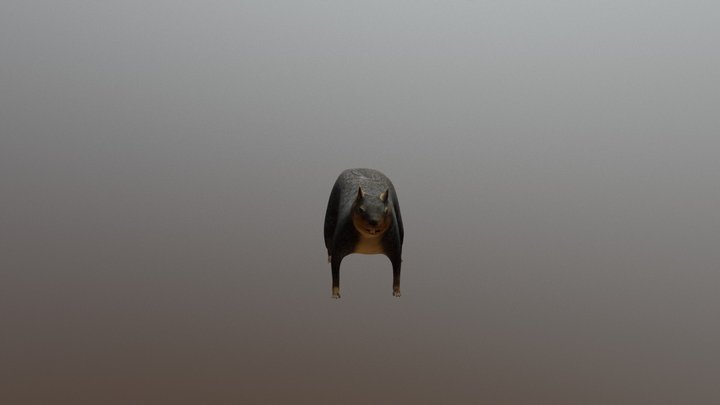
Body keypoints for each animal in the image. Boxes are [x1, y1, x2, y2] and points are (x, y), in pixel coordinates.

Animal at [323, 168, 404, 298]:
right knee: (328, 241)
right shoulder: (341, 239)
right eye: (361, 210)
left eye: (386, 210)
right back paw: (329, 256)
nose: (374, 222)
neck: (369, 238)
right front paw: (335, 293)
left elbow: (397, 268)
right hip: (330, 214)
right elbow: (335, 267)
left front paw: (397, 291)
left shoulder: (394, 243)